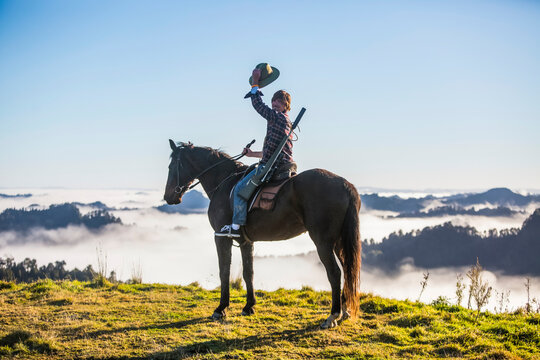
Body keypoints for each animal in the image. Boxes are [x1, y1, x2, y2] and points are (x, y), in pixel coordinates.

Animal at [162, 141, 360, 330]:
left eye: (172, 166)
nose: (168, 196)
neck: (224, 181)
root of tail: (345, 185)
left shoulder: (221, 237)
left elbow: (224, 271)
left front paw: (221, 308)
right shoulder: (245, 241)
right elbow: (248, 272)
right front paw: (249, 306)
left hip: (323, 242)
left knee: (334, 273)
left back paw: (332, 316)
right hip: (339, 241)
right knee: (347, 269)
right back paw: (344, 310)